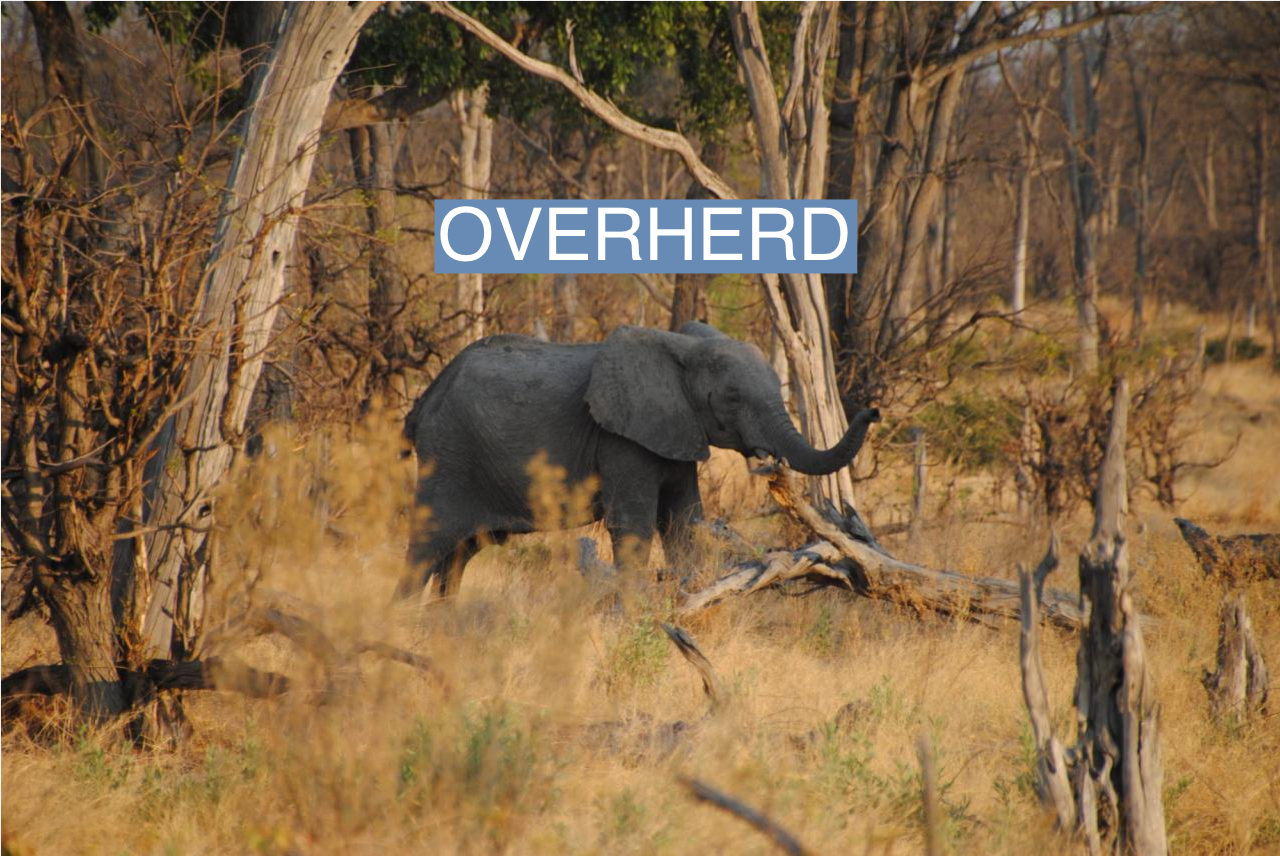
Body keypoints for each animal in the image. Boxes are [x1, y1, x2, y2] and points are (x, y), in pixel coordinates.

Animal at [398, 321, 879, 597]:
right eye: (732, 398)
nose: (873, 412)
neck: (682, 349)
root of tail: (424, 401)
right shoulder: (621, 440)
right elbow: (634, 524)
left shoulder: (676, 430)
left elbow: (684, 520)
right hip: (449, 454)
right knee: (427, 545)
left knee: (459, 555)